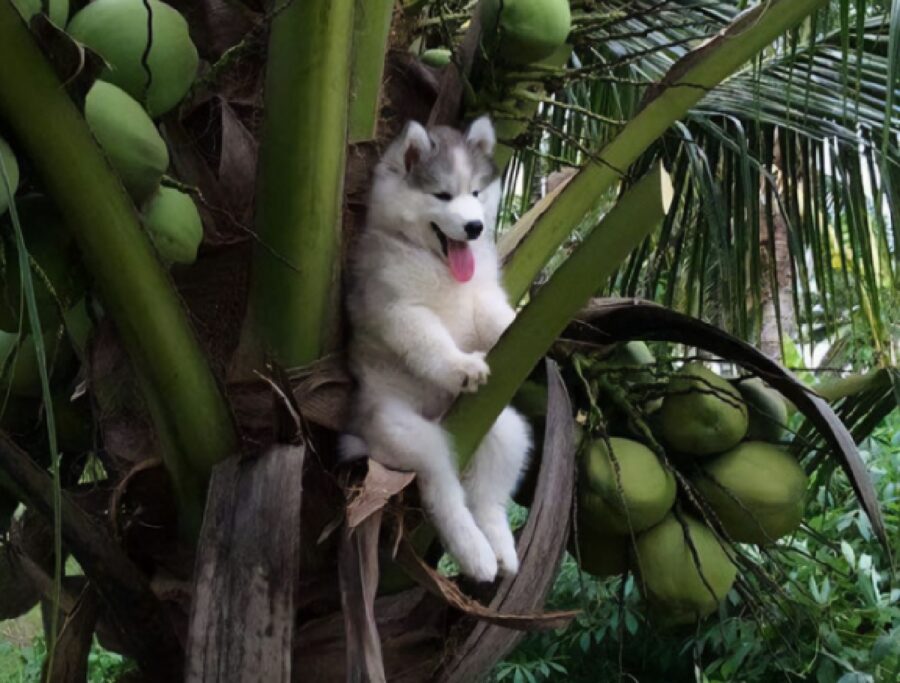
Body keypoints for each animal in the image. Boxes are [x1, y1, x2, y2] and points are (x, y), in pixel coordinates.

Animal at [342, 117, 528, 584]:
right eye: (442, 195)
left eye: (476, 193)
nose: (475, 227)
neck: (438, 265)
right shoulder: (400, 310)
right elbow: (431, 341)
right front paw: (461, 365)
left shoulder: (482, 298)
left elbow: (496, 320)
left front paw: (520, 322)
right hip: (405, 432)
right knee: (443, 490)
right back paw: (475, 553)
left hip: (505, 428)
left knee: (488, 495)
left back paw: (500, 548)